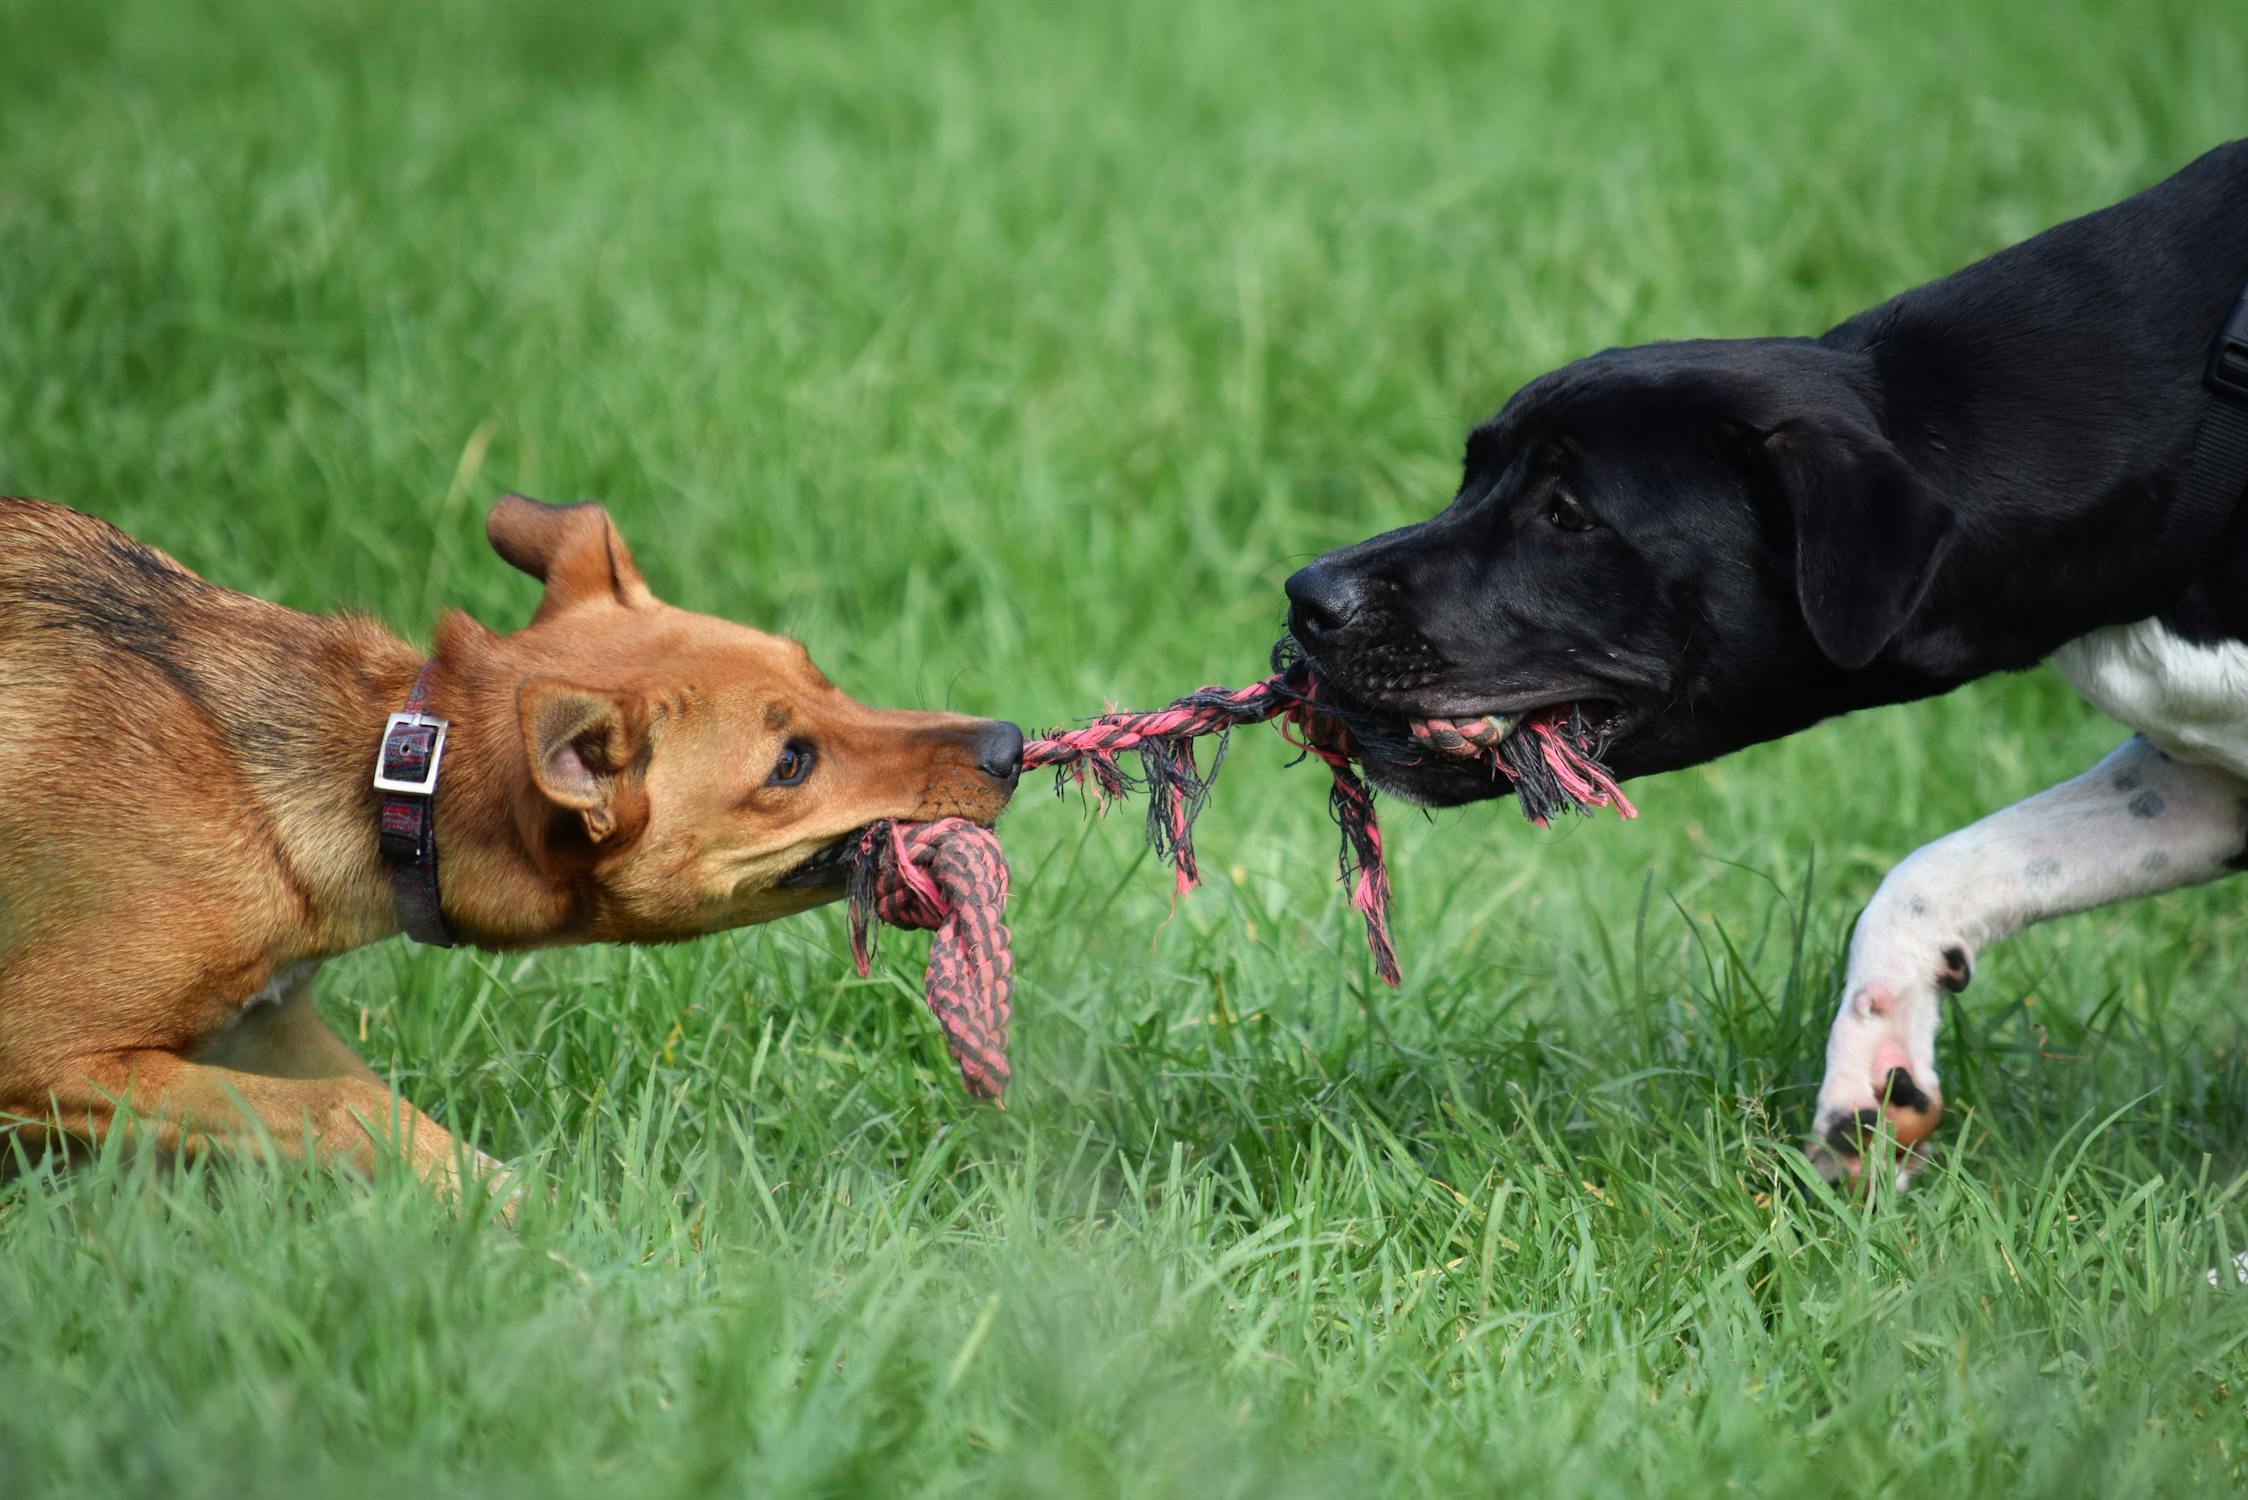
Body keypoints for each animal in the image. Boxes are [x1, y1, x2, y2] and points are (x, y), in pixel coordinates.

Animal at [0, 499, 1011, 1205]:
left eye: (820, 677)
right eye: (790, 764)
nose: (1007, 744)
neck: (378, 780)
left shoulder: (269, 1020)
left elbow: (359, 1098)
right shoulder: (46, 1055)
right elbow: (351, 1109)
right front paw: (518, 1211)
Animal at [1285, 140, 2248, 1187]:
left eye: (1567, 513)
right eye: (1472, 475)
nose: (1306, 597)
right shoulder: (2200, 784)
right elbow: (1930, 875)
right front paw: (1872, 1086)